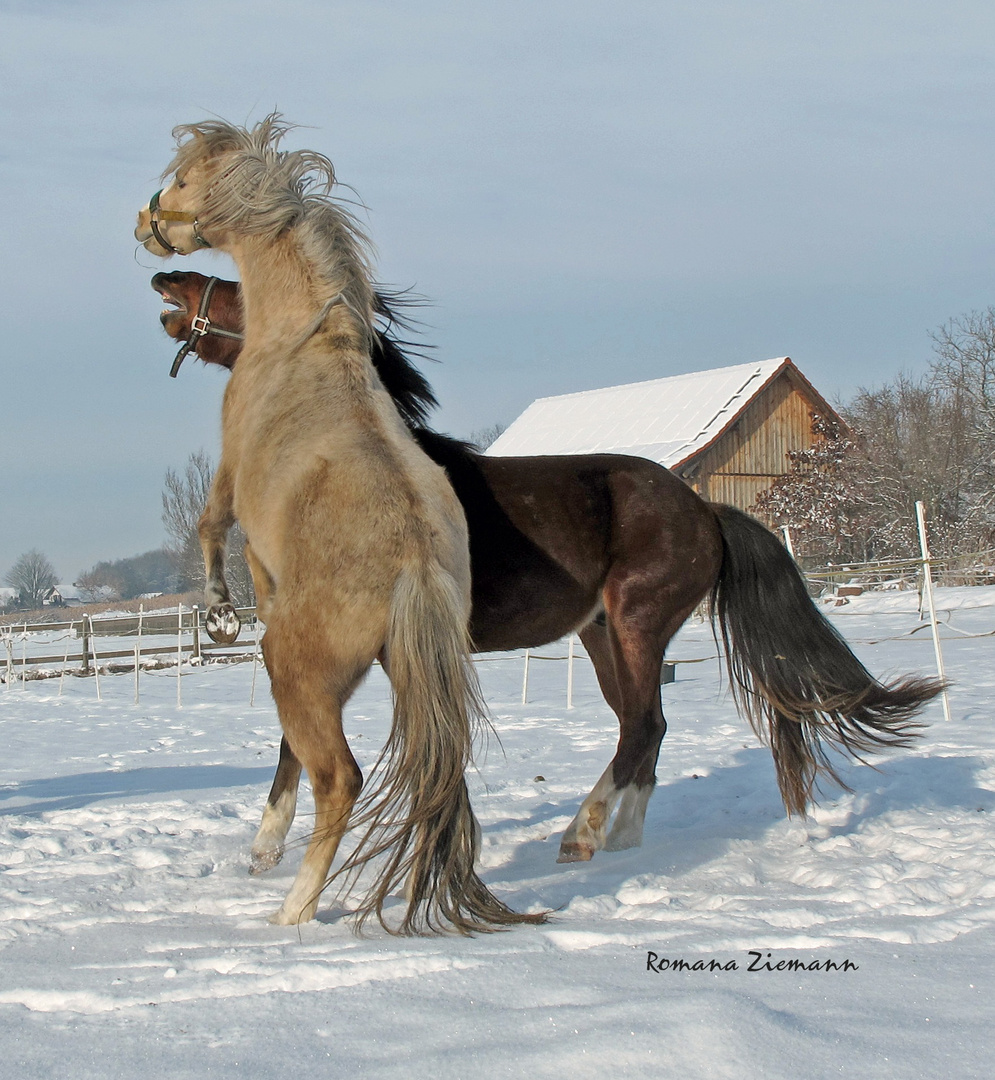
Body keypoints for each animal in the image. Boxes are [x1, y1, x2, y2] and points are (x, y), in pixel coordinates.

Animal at [133, 113, 535, 933]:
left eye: (184, 180)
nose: (146, 235)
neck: (301, 339)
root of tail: (414, 563)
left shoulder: (231, 480)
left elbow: (208, 528)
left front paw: (217, 610)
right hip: (399, 671)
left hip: (299, 671)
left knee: (339, 778)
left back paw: (292, 909)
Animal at [153, 270, 937, 876]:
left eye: (238, 286)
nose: (168, 281)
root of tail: (706, 510)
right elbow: (296, 737)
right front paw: (261, 851)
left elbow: (306, 734)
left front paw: (269, 848)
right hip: (600, 636)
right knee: (645, 730)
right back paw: (620, 840)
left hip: (638, 623)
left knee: (642, 726)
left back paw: (582, 836)